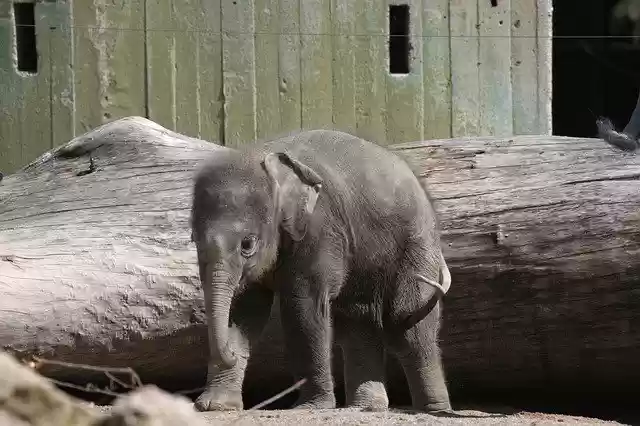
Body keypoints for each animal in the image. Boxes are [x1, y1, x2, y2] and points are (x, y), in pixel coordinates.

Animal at [189, 129, 452, 413]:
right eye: (194, 239)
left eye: (247, 244)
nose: (230, 354)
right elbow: (243, 308)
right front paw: (215, 406)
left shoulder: (320, 229)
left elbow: (304, 306)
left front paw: (310, 407)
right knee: (358, 322)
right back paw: (365, 407)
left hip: (417, 245)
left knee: (408, 324)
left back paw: (435, 409)